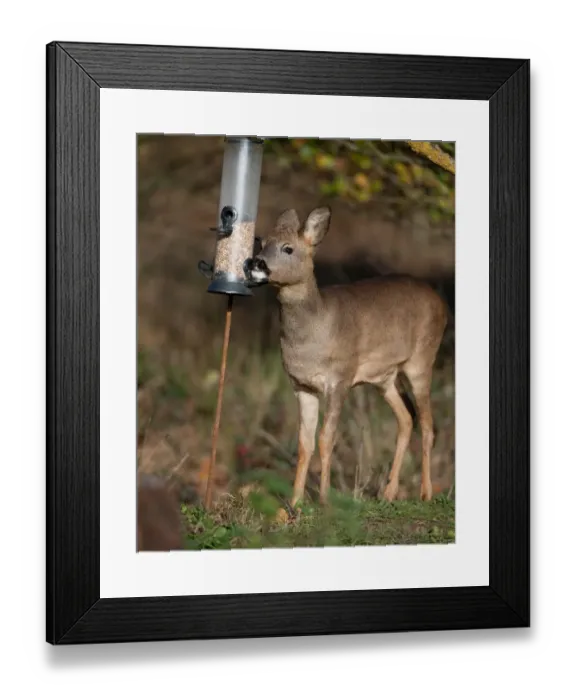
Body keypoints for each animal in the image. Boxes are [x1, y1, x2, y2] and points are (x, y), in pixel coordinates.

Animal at [245, 206, 448, 512]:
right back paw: (388, 493)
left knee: (427, 424)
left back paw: (426, 494)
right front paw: (295, 503)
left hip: (422, 359)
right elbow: (305, 443)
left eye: (288, 248)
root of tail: (442, 303)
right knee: (406, 418)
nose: (254, 263)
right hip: (386, 378)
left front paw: (324, 500)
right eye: (261, 242)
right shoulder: (301, 386)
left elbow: (326, 438)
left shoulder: (340, 379)